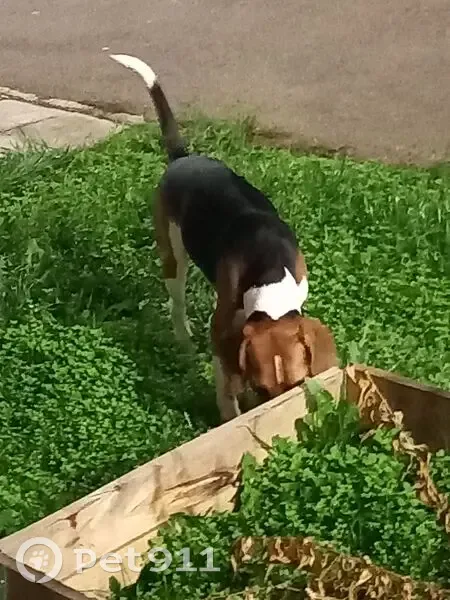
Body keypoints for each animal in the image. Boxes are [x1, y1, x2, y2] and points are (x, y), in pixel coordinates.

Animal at [109, 54, 339, 422]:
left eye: (298, 383)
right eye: (260, 389)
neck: (269, 272)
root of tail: (184, 157)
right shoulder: (222, 332)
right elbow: (227, 392)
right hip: (173, 256)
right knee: (177, 304)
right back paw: (184, 343)